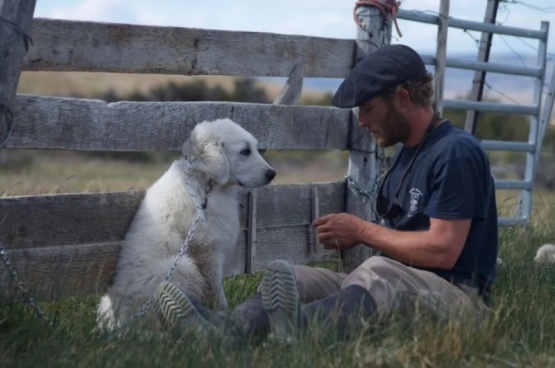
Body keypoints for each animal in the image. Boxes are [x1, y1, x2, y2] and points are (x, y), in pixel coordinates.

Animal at [97, 118, 278, 330]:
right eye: (245, 151)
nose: (272, 174)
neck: (206, 186)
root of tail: (117, 325)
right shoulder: (208, 253)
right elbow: (217, 293)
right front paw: (223, 314)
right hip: (183, 267)